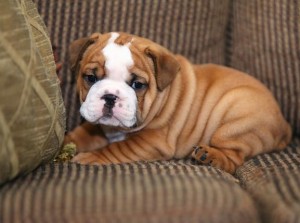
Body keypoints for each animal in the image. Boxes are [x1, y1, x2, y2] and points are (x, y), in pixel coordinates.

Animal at [67, 31, 292, 174]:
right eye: (90, 78)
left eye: (138, 84)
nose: (110, 96)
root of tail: (284, 124)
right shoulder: (97, 126)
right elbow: (82, 134)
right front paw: (66, 143)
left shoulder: (151, 141)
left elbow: (117, 148)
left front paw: (91, 157)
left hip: (234, 120)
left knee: (233, 159)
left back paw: (209, 156)